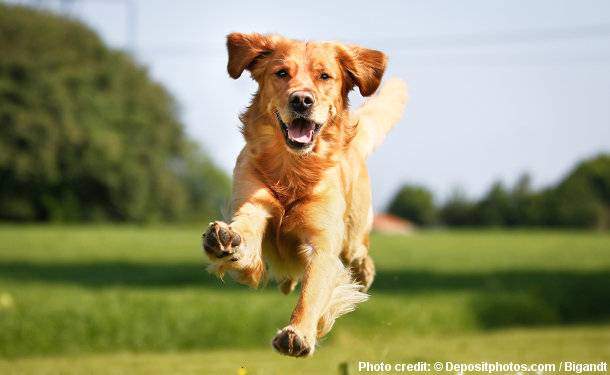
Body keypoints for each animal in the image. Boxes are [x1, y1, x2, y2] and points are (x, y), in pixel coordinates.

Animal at [202, 33, 406, 358]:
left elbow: (312, 293)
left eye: (325, 76)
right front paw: (226, 239)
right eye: (281, 73)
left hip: (353, 232)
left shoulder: (322, 243)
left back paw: (364, 273)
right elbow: (245, 230)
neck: (293, 169)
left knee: (360, 252)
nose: (301, 100)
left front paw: (298, 333)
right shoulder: (253, 204)